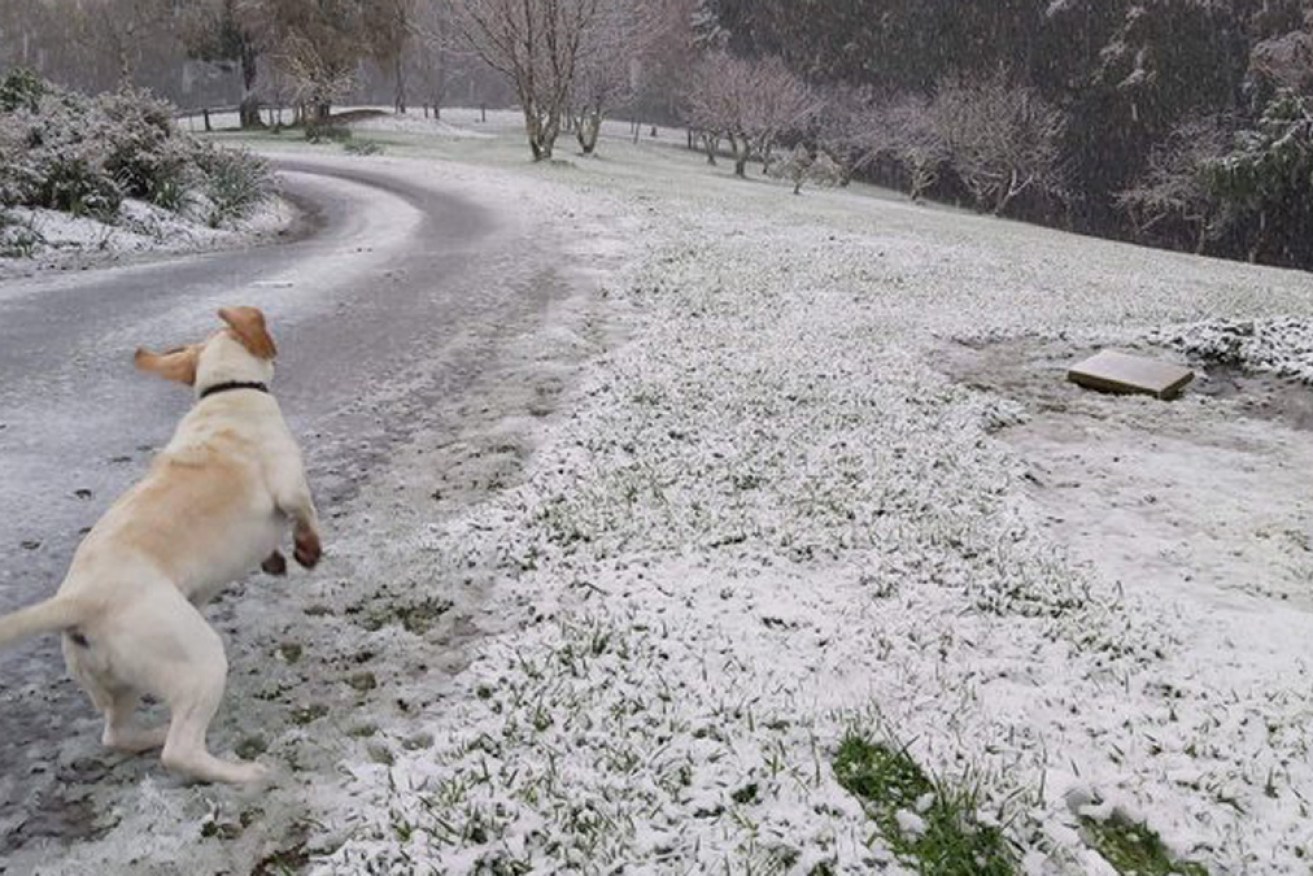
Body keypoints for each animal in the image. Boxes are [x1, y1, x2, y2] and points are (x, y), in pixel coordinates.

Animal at [0, 308, 320, 788]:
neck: (227, 390)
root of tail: (81, 600)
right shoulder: (289, 484)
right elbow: (305, 513)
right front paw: (307, 551)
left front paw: (277, 560)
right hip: (199, 661)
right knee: (181, 752)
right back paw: (244, 773)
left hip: (120, 684)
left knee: (116, 735)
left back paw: (151, 734)